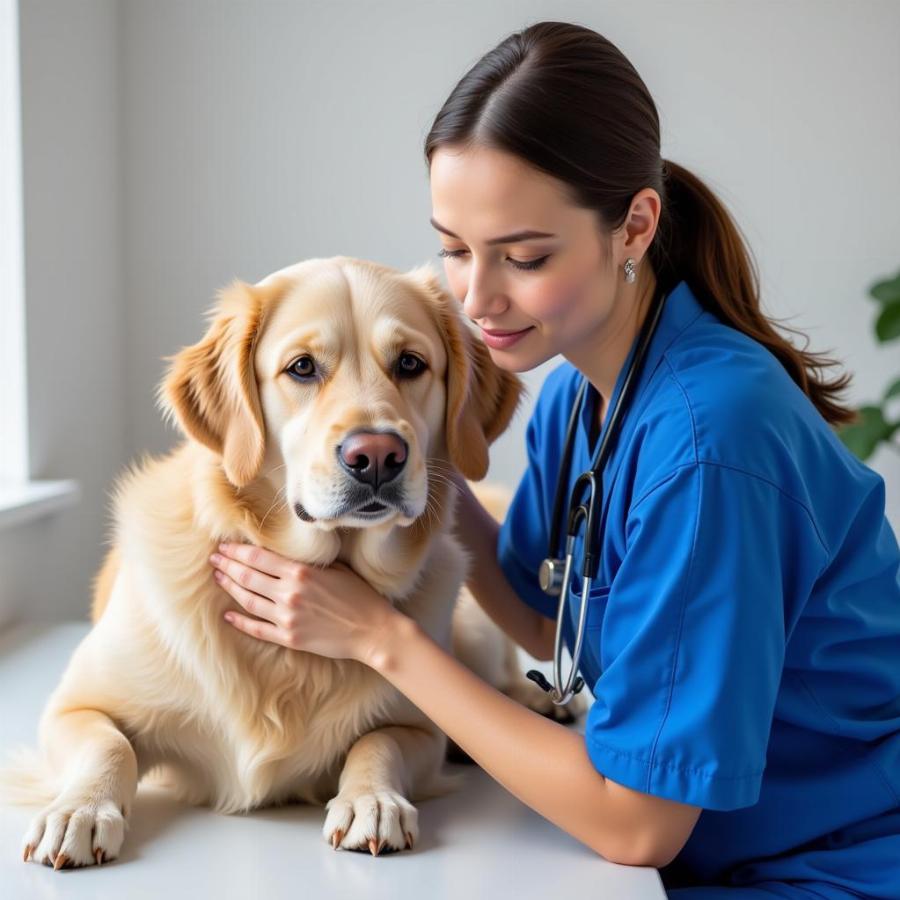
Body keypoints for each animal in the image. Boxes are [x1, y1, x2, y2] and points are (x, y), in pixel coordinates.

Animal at [0, 255, 584, 872]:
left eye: (410, 363)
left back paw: (536, 700)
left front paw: (371, 800)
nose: (377, 456)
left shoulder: (423, 728)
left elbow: (377, 740)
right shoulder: (73, 706)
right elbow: (108, 743)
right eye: (302, 368)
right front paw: (79, 811)